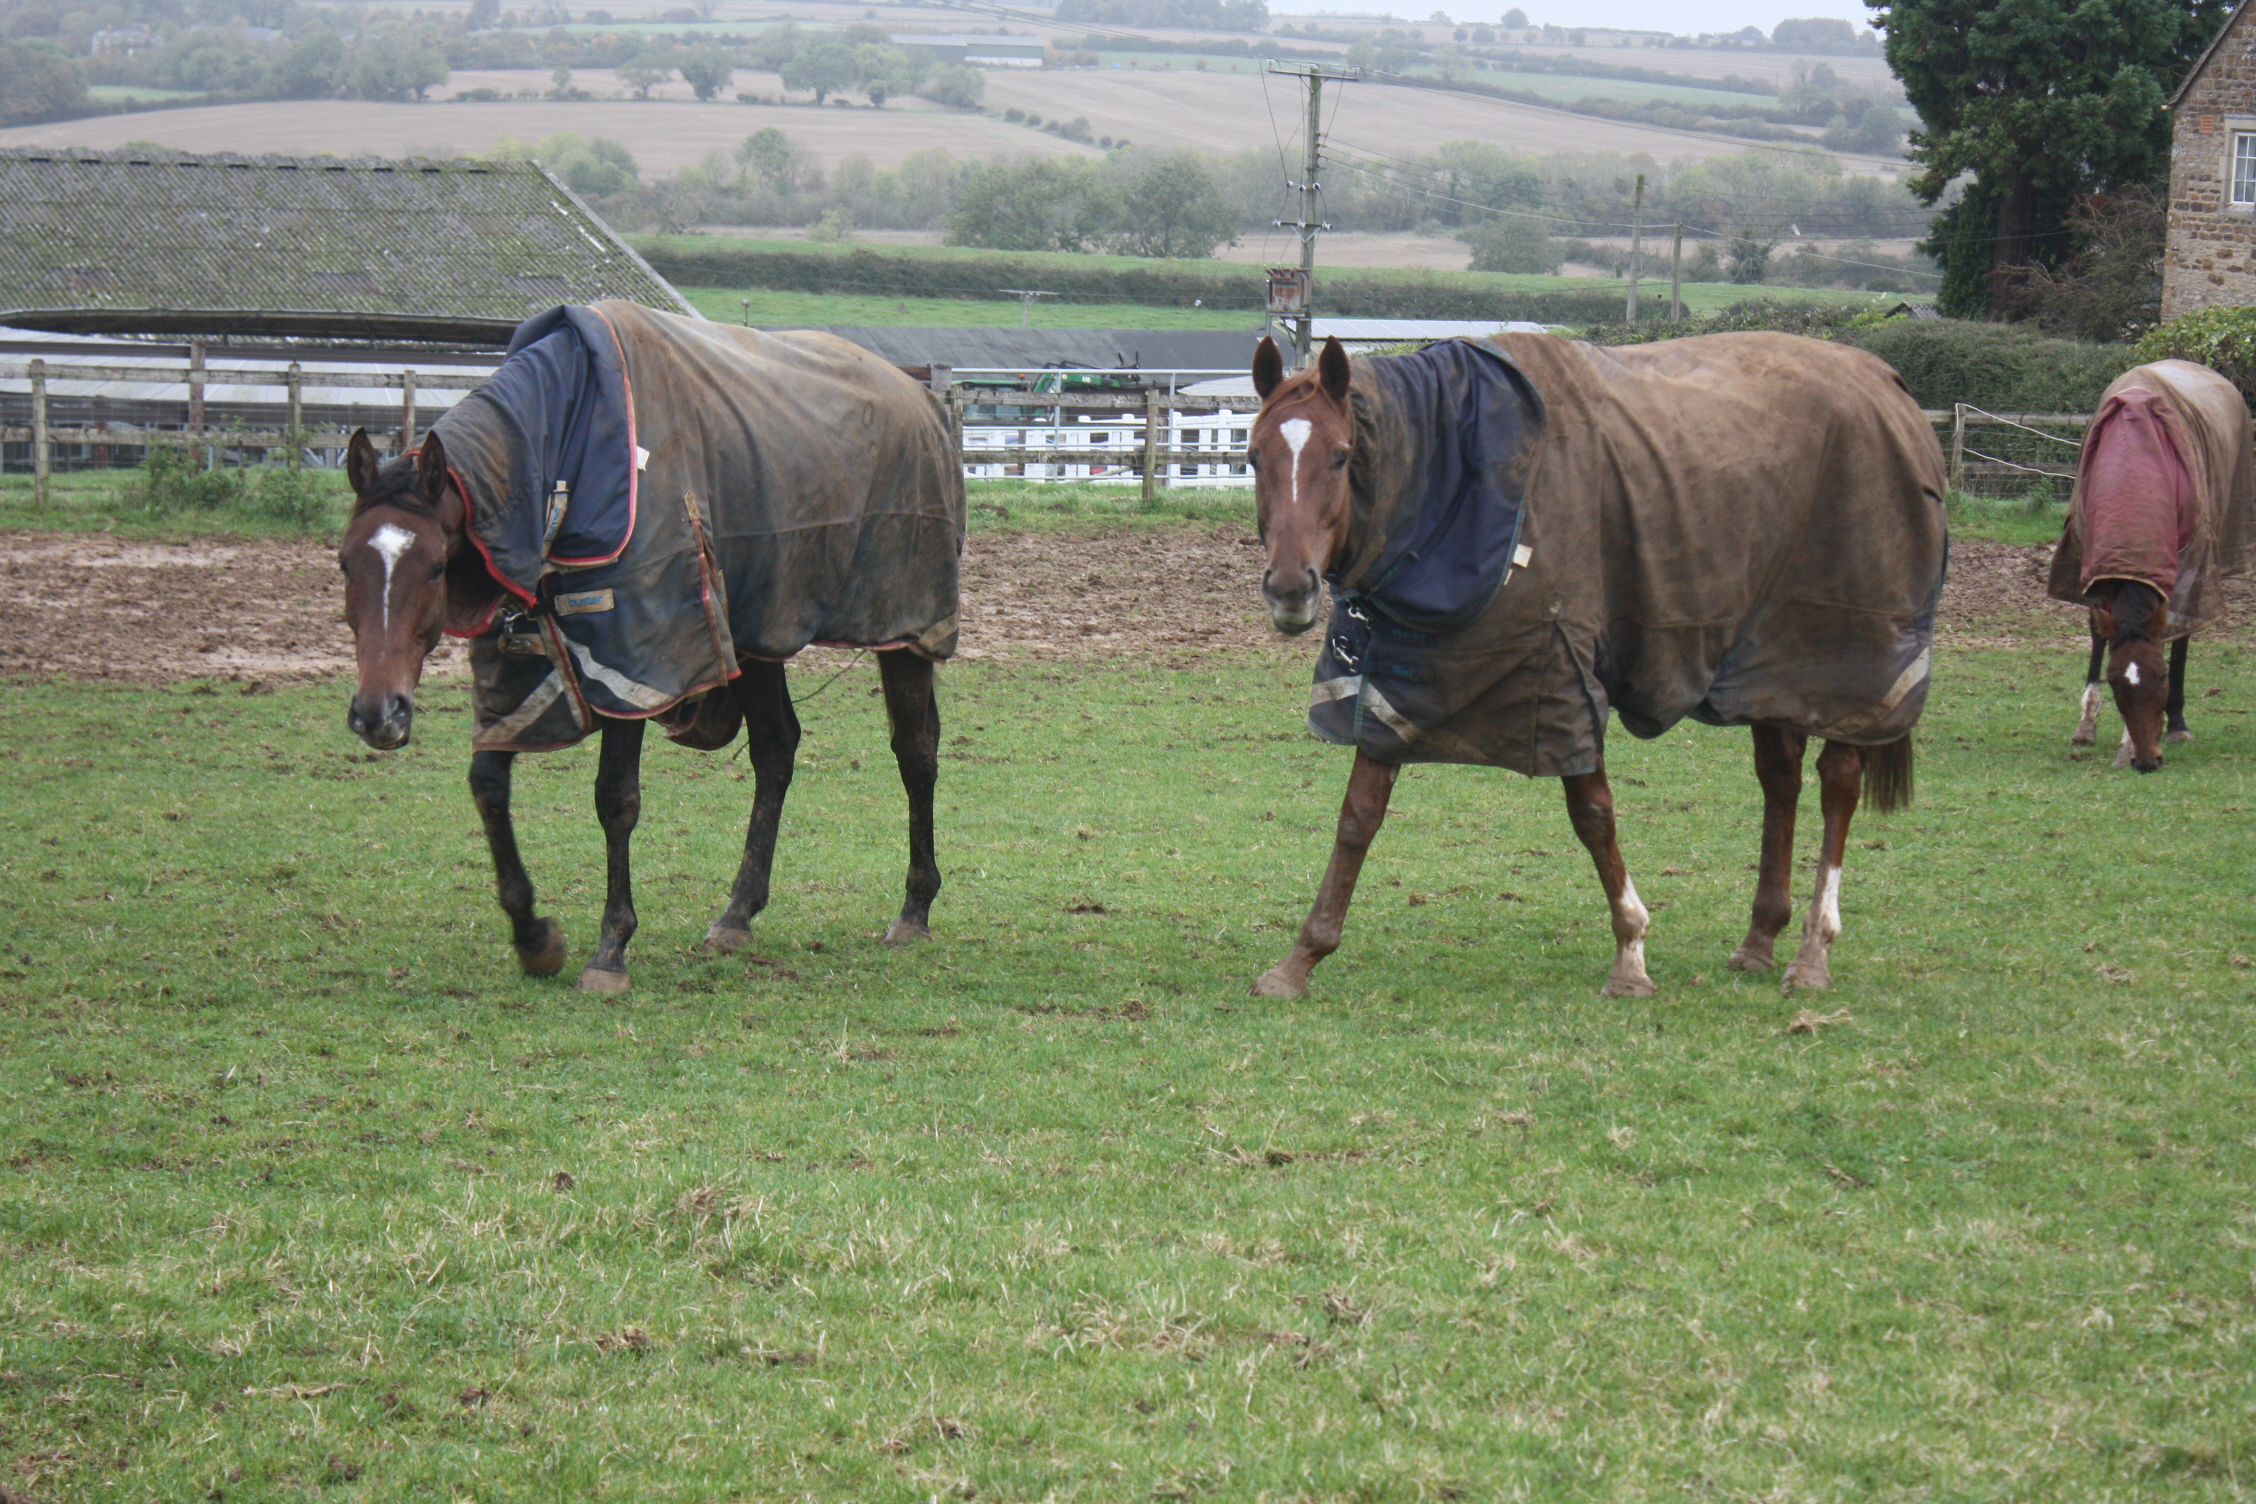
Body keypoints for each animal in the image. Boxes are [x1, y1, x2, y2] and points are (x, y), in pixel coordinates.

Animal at [338, 299, 965, 992]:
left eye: (433, 569)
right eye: (344, 563)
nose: (378, 714)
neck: (565, 453)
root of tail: (923, 400)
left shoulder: (635, 660)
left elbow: (616, 799)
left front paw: (610, 948)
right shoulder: (517, 669)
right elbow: (487, 786)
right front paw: (533, 936)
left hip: (906, 629)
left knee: (915, 751)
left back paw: (914, 909)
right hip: (761, 637)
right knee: (776, 750)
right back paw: (737, 914)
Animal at [1245, 335, 1949, 1005]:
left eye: (1341, 456)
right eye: (1253, 457)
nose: (1290, 588)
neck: (1464, 481)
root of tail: (1889, 387)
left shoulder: (1560, 675)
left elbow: (1592, 813)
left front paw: (1631, 957)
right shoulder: (1400, 688)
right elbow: (1358, 818)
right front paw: (1299, 961)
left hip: (1848, 666)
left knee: (1838, 785)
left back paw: (1812, 951)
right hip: (1769, 672)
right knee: (1780, 780)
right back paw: (1759, 940)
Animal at [2048, 360, 2256, 771]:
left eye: (2160, 677)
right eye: (2114, 681)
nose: (2147, 760)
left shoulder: (2183, 567)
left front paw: (2132, 742)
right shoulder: (2096, 565)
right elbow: (2099, 632)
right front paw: (2087, 724)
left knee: (2182, 633)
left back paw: (2177, 725)